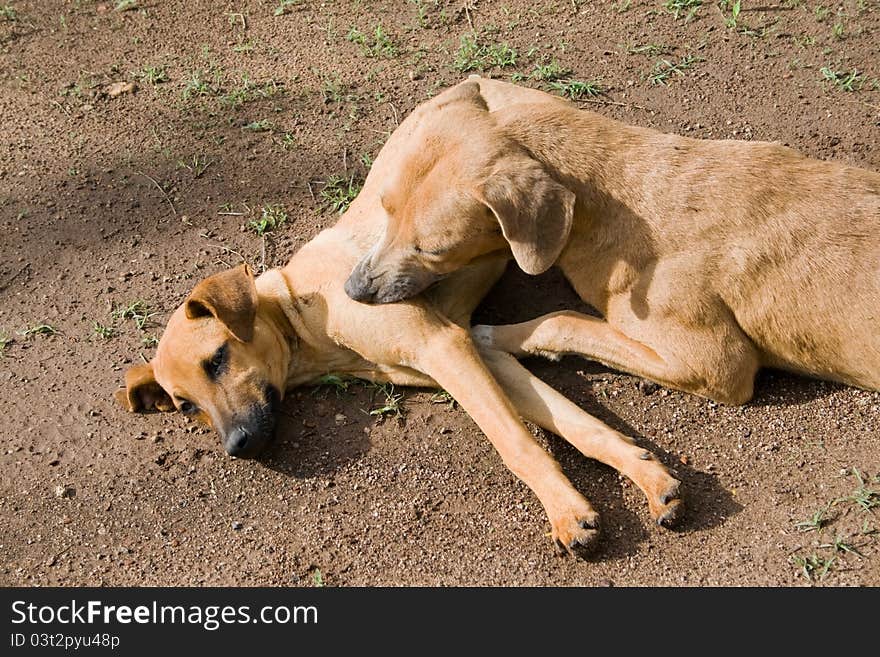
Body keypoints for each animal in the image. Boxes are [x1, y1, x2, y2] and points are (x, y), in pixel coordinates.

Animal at [113, 82, 684, 552]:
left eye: (217, 359)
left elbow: (515, 443)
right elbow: (576, 424)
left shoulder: (445, 347)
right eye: (186, 407)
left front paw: (565, 512)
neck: (302, 307)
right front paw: (647, 476)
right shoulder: (479, 355)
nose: (237, 447)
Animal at [346, 77, 880, 404]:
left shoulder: (717, 364)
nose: (354, 291)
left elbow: (564, 320)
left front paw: (495, 335)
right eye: (384, 208)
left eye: (434, 249)